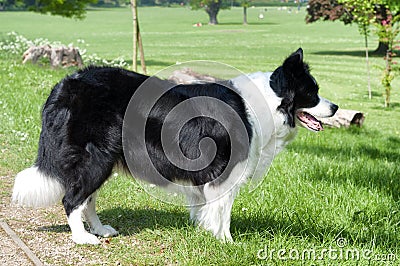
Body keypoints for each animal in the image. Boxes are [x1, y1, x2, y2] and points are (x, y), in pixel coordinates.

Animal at [12, 48, 338, 245]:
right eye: (312, 93)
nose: (335, 107)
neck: (269, 102)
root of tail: (66, 84)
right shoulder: (226, 170)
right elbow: (223, 210)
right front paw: (227, 242)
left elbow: (207, 206)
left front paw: (205, 231)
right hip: (95, 157)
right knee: (72, 198)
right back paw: (84, 238)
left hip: (103, 159)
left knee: (87, 198)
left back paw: (101, 229)